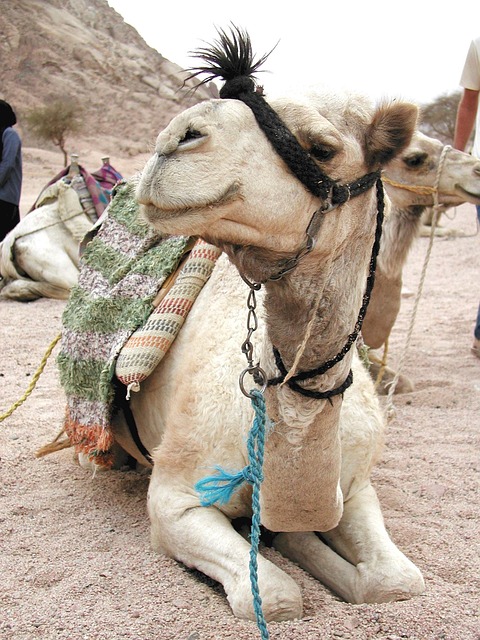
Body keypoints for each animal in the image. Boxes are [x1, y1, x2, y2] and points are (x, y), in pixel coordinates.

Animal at [70, 28, 427, 624]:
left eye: (322, 148)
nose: (175, 138)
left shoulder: (355, 486)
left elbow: (396, 582)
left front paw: (303, 542)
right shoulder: (176, 501)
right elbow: (276, 597)